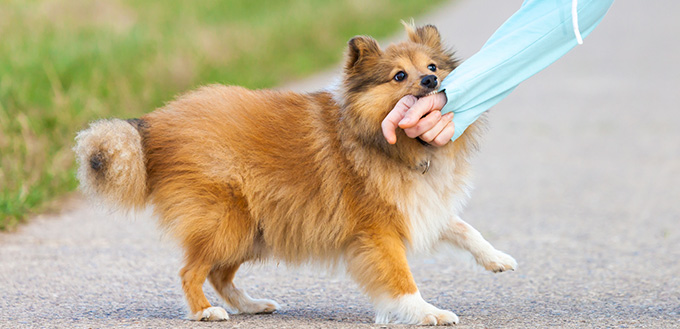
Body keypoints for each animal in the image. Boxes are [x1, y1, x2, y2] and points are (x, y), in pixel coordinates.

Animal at [73, 23, 516, 326]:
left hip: (253, 230)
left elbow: (462, 227)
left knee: (218, 273)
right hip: (227, 221)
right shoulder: (378, 230)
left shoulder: (418, 206)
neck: (387, 141)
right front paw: (427, 312)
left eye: (432, 66)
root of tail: (153, 125)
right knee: (191, 271)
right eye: (399, 76)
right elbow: (401, 278)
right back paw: (206, 312)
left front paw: (496, 259)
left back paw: (251, 305)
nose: (431, 80)